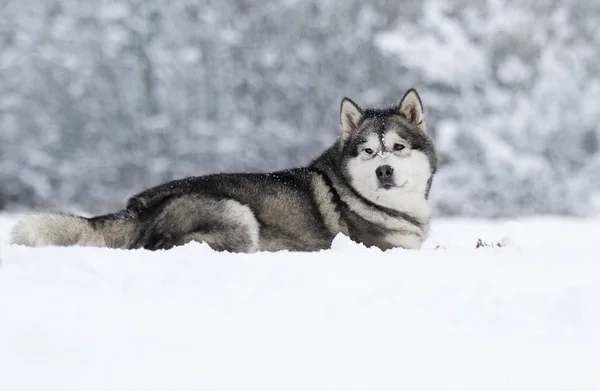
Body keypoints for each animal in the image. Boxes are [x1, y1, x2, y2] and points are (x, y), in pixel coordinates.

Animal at [10, 89, 436, 253]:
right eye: (368, 151)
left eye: (398, 148)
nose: (384, 171)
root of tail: (139, 206)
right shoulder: (388, 249)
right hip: (237, 215)